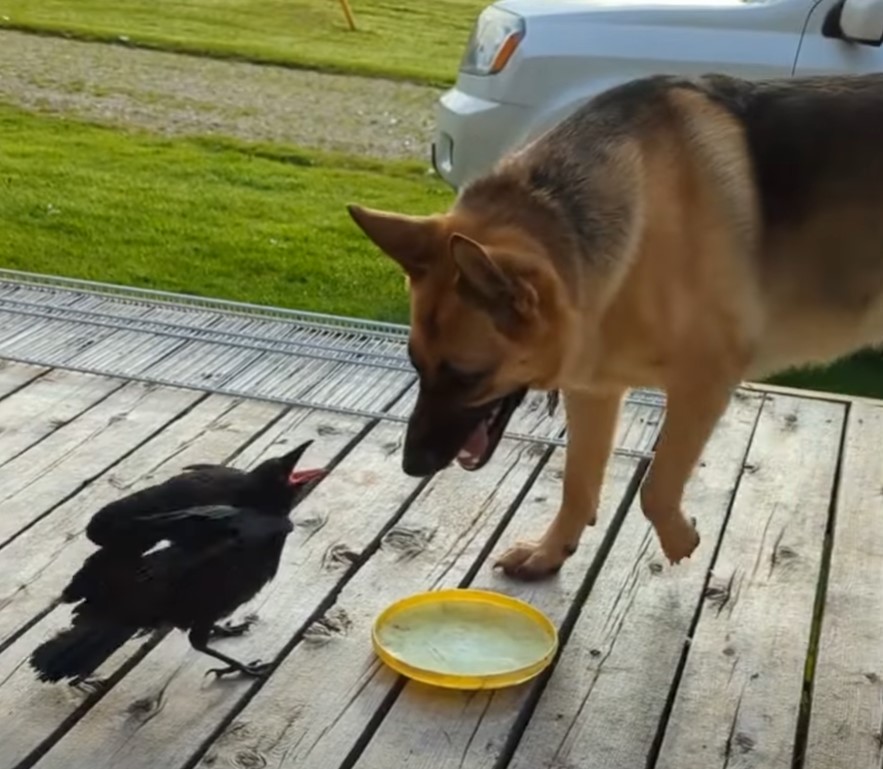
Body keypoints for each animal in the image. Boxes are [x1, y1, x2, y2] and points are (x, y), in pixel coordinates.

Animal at [348, 72, 883, 580]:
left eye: (467, 376)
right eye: (416, 365)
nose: (411, 465)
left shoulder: (703, 383)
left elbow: (656, 487)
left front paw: (679, 539)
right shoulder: (594, 390)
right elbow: (577, 483)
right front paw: (549, 553)